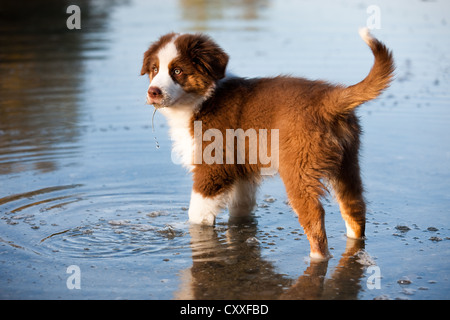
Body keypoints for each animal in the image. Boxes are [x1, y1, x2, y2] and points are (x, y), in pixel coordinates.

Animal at [141, 28, 394, 260]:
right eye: (154, 69)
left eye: (177, 71)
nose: (153, 92)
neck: (203, 99)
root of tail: (328, 100)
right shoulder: (242, 171)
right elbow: (241, 209)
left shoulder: (213, 166)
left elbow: (197, 212)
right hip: (347, 164)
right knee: (354, 207)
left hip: (298, 168)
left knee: (314, 217)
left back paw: (316, 257)